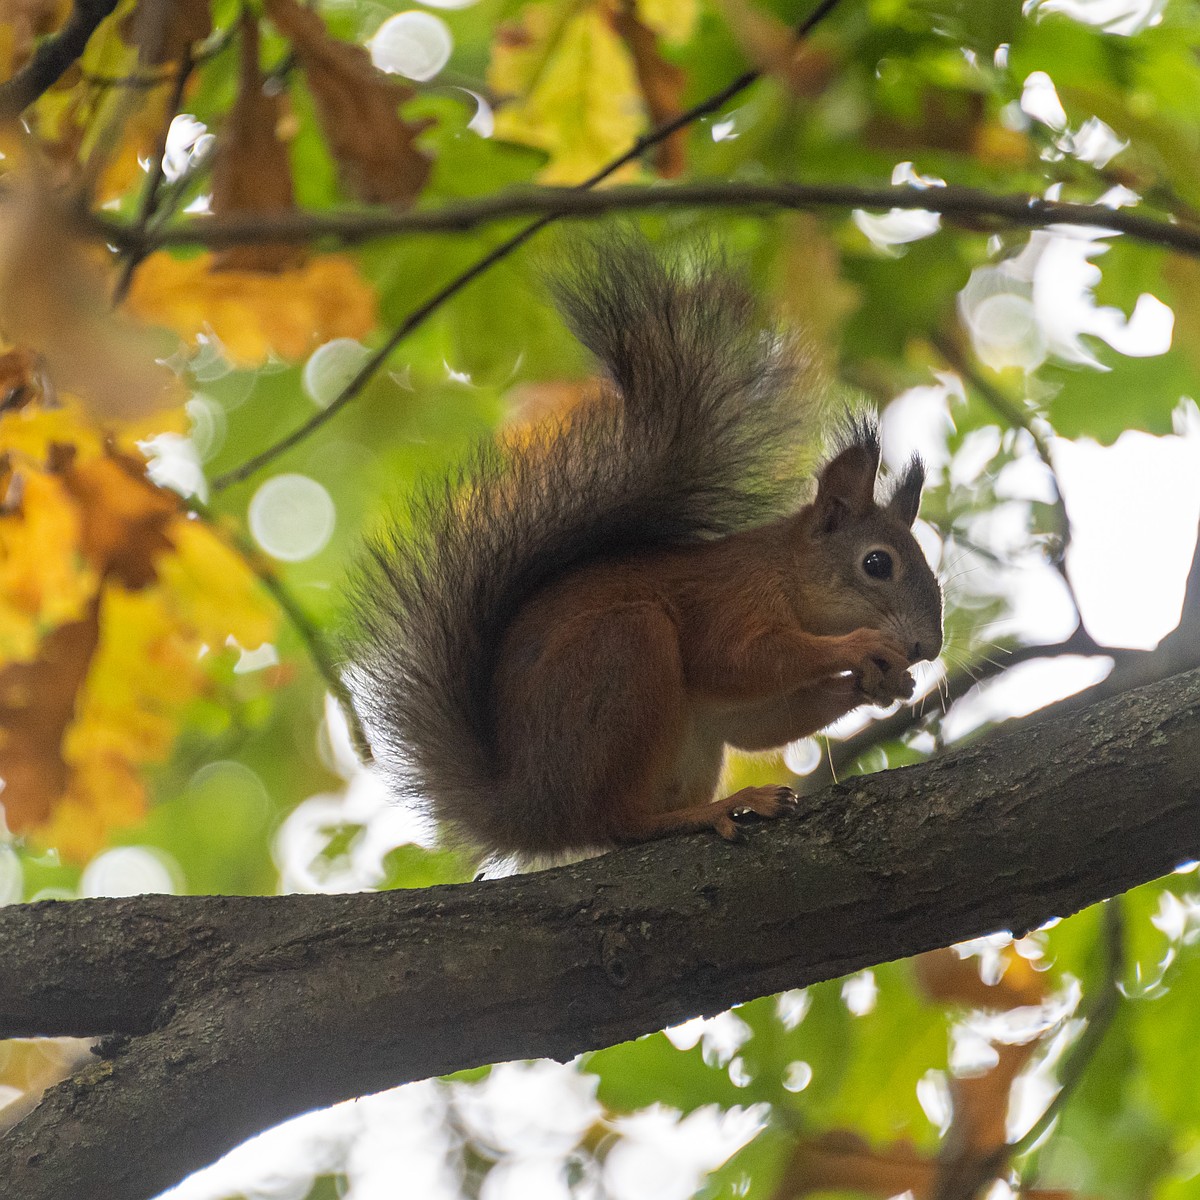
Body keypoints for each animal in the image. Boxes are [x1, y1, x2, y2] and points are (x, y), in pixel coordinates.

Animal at [348, 234, 945, 859]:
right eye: (877, 563)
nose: (927, 647)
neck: (787, 573)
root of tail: (533, 814)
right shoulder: (729, 599)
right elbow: (737, 658)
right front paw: (861, 648)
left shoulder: (730, 712)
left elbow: (755, 722)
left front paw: (884, 683)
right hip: (625, 653)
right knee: (618, 821)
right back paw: (718, 808)